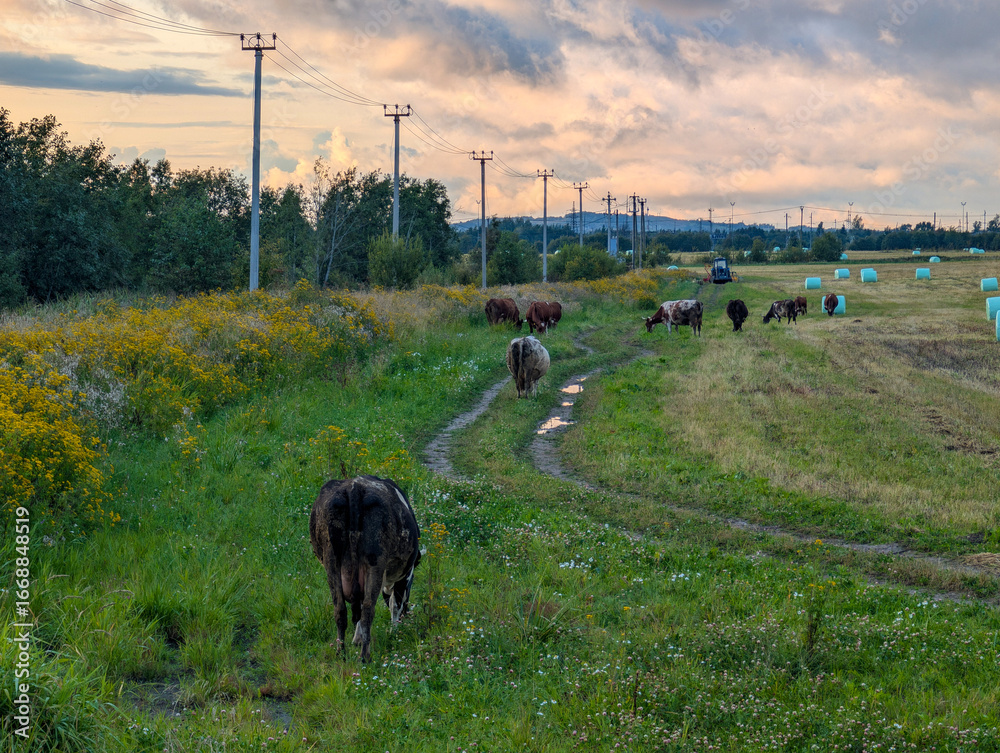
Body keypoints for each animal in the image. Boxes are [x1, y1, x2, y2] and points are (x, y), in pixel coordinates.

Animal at [309, 475, 421, 663]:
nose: (407, 615)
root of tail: (354, 488)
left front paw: (357, 639)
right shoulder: (404, 576)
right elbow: (395, 604)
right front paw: (394, 632)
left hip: (331, 560)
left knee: (340, 609)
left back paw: (341, 653)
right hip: (375, 561)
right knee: (368, 608)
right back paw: (365, 657)